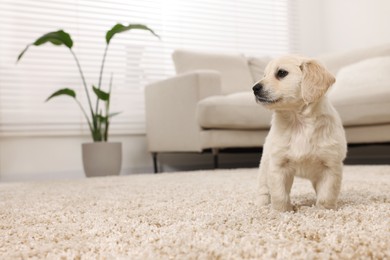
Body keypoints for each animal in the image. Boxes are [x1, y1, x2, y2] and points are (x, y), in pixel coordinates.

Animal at [253, 54, 348, 211]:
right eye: (264, 75)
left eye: (281, 73)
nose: (254, 88)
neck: (299, 123)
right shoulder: (278, 165)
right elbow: (279, 194)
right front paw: (282, 211)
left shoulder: (331, 165)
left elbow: (326, 195)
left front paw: (324, 210)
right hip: (265, 163)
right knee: (263, 189)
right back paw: (261, 204)